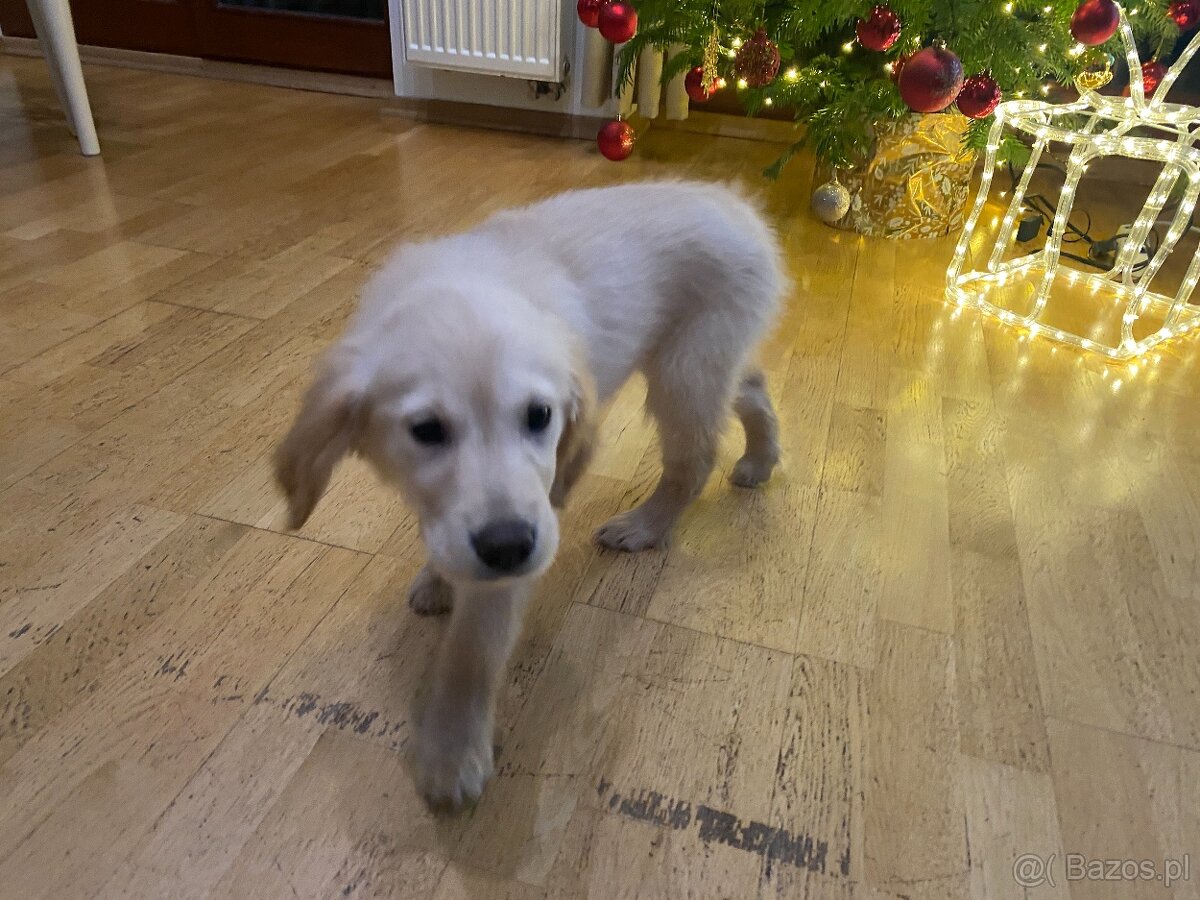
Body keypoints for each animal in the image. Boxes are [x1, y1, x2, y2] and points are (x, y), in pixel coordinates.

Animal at [273, 180, 782, 806]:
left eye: (540, 416)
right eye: (426, 430)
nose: (509, 546)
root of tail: (736, 203)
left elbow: (470, 656)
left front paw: (452, 756)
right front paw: (438, 577)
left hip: (686, 366)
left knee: (695, 458)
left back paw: (645, 526)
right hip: (711, 360)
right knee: (752, 386)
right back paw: (759, 461)